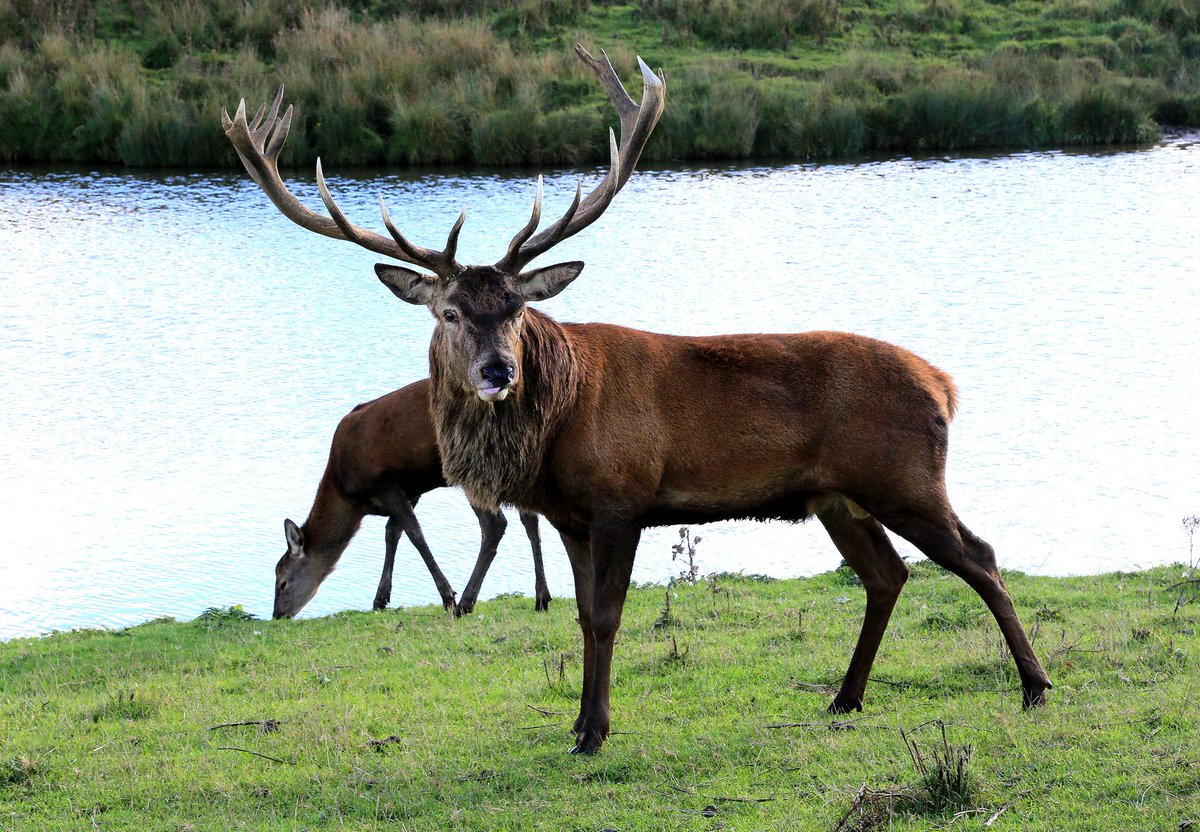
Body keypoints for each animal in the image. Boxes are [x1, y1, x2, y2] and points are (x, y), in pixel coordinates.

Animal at [273, 378, 549, 620]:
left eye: (282, 582)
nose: (278, 615)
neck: (349, 495)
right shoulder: (411, 491)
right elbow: (392, 533)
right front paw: (380, 599)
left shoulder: (387, 483)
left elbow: (414, 534)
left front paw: (447, 596)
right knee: (530, 519)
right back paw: (542, 597)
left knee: (494, 524)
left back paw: (465, 603)